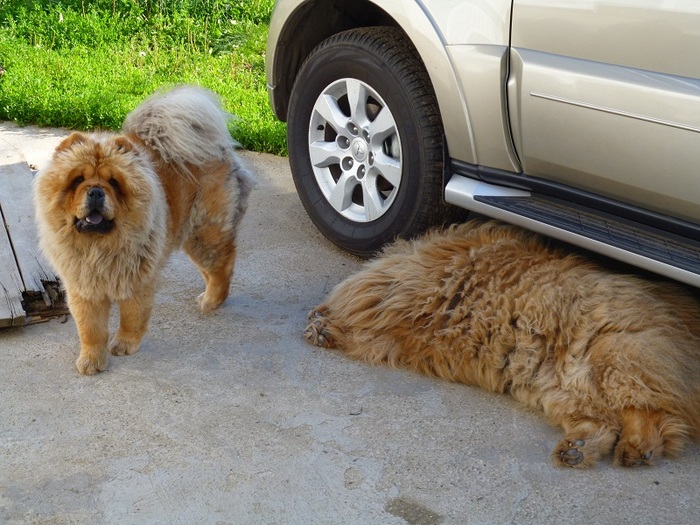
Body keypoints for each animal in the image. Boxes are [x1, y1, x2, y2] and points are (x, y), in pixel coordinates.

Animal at [33, 85, 256, 375]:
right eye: (77, 180)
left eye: (114, 183)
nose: (95, 191)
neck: (99, 248)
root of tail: (218, 148)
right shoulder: (83, 286)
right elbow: (91, 328)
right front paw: (92, 360)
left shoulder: (136, 280)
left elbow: (131, 316)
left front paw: (124, 345)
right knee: (212, 269)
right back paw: (205, 296)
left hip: (203, 233)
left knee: (223, 264)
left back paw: (210, 302)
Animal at [304, 221, 700, 468]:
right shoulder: (401, 333)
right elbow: (370, 332)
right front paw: (324, 325)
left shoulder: (409, 299)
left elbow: (369, 312)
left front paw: (325, 323)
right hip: (563, 391)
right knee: (608, 421)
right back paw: (579, 450)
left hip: (613, 359)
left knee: (653, 413)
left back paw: (637, 448)